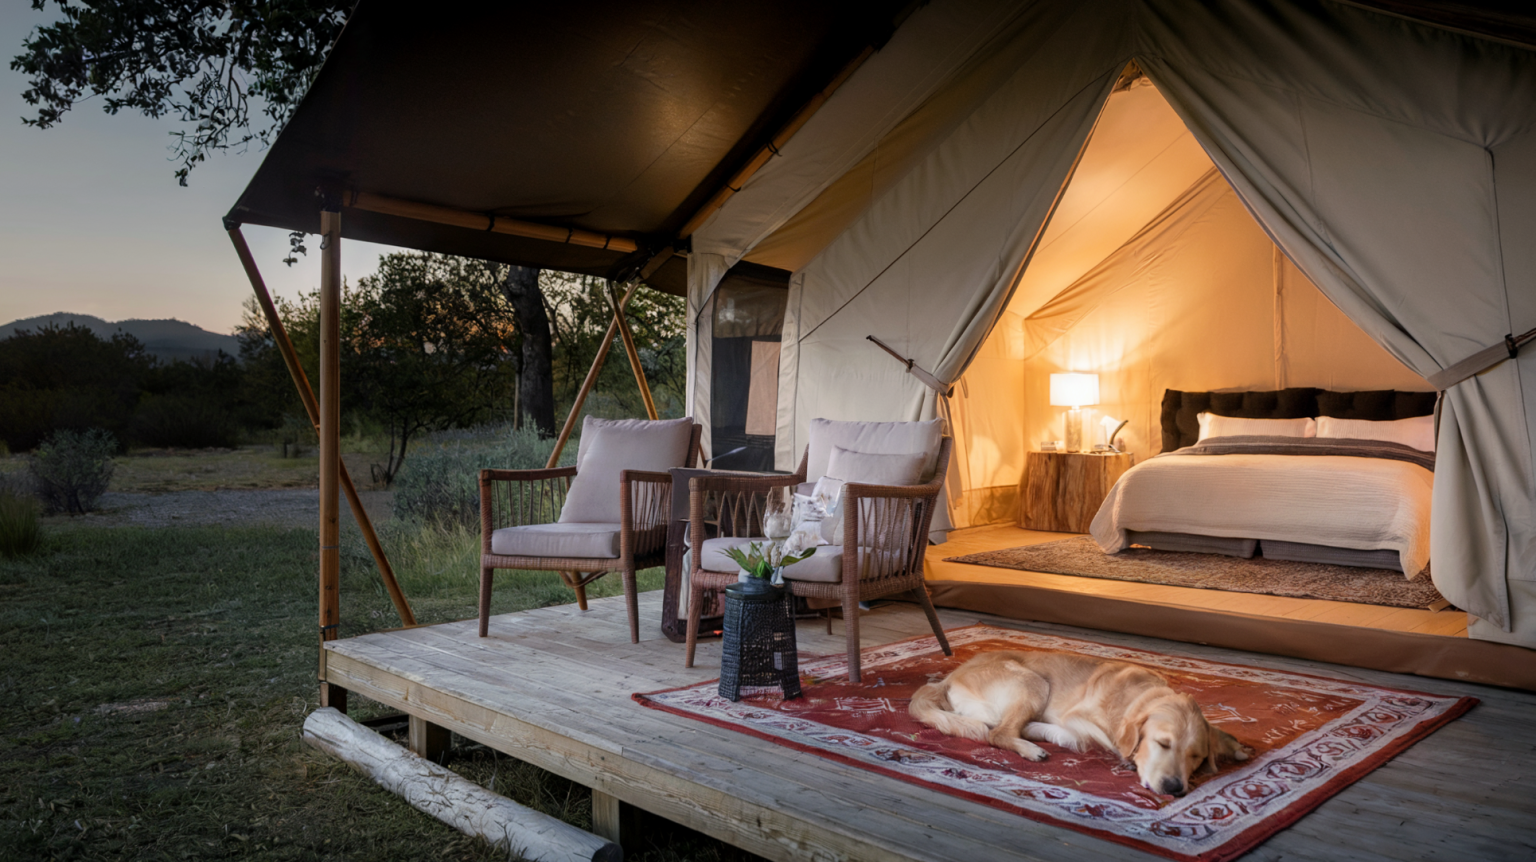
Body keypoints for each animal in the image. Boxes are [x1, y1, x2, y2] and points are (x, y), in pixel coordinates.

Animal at [909, 648, 1247, 799]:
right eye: (1162, 744)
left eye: (1196, 757)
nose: (1175, 788)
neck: (1135, 696)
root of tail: (948, 678)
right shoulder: (1078, 718)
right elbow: (1096, 739)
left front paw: (1236, 747)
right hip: (1034, 682)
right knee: (998, 734)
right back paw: (1029, 747)